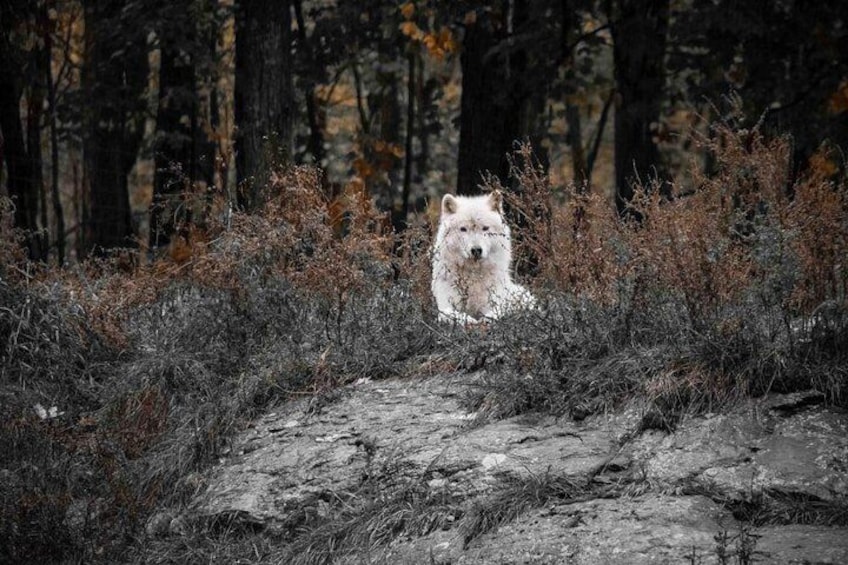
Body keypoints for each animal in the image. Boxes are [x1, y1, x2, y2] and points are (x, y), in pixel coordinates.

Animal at [430, 189, 536, 322]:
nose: (476, 250)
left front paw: (485, 321)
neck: (473, 275)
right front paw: (469, 321)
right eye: (463, 229)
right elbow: (452, 314)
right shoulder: (445, 305)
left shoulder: (494, 302)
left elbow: (494, 313)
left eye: (485, 228)